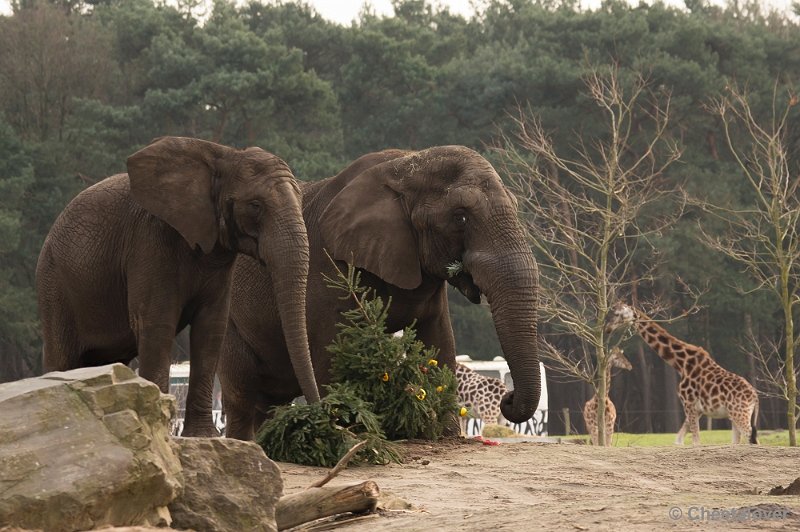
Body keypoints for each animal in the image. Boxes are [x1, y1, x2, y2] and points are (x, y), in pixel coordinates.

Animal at [36, 135, 318, 434]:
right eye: (255, 205)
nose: (317, 409)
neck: (224, 155)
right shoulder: (150, 240)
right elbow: (158, 323)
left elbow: (211, 327)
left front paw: (201, 436)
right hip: (54, 284)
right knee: (62, 356)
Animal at [220, 145, 544, 440]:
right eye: (460, 217)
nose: (507, 399)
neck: (406, 165)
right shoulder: (326, 265)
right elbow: (331, 348)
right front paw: (354, 433)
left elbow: (439, 340)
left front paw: (444, 435)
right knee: (241, 396)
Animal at [608, 304, 760, 444]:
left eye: (617, 313)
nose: (608, 328)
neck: (681, 364)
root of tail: (755, 398)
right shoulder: (696, 409)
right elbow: (679, 439)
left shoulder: (689, 404)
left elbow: (695, 441)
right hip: (734, 416)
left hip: (739, 414)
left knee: (752, 440)